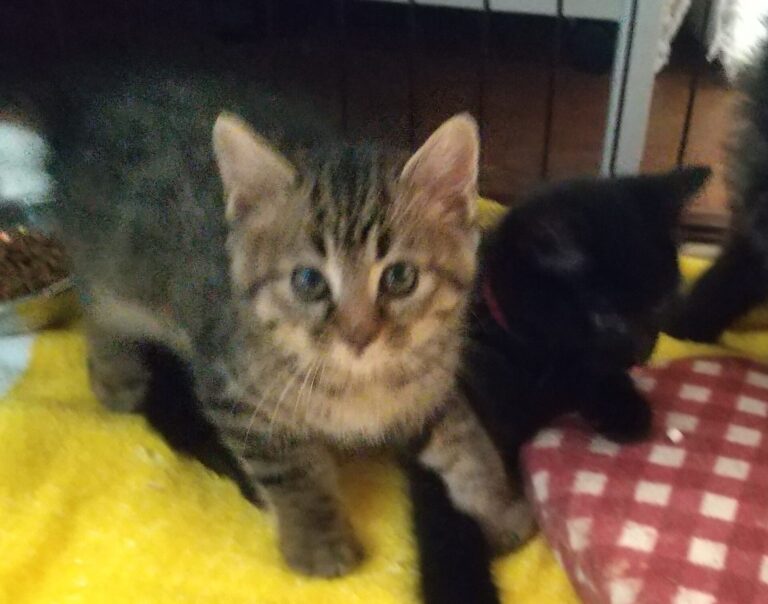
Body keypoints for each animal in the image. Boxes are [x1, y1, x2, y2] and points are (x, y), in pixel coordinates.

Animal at [44, 66, 535, 578]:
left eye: (400, 277)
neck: (360, 384)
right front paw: (317, 541)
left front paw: (497, 506)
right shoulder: (232, 392)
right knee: (96, 308)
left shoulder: (427, 388)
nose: (359, 336)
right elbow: (291, 470)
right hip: (109, 268)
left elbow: (465, 440)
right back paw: (116, 374)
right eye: (308, 281)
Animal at [409, 166, 710, 604]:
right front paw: (462, 589)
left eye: (658, 306)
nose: (642, 353)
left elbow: (588, 374)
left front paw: (624, 408)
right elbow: (447, 522)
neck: (527, 355)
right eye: (606, 316)